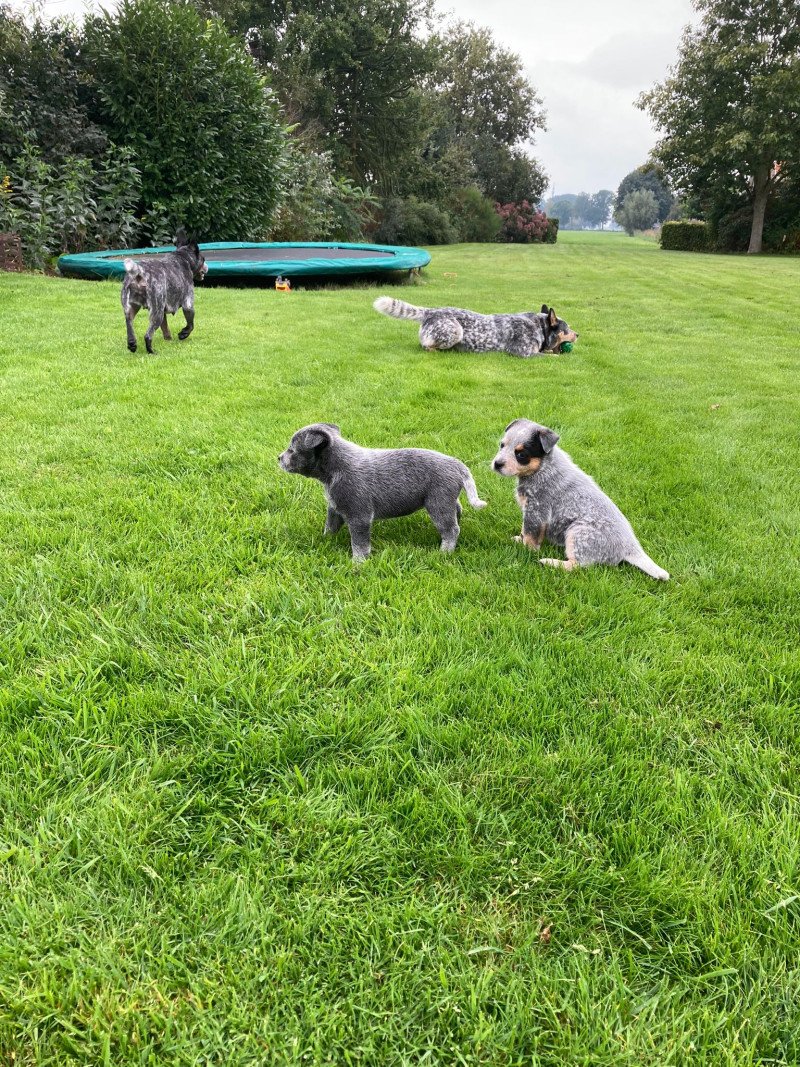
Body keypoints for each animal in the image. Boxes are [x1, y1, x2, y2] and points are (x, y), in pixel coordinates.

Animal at [279, 420, 488, 563]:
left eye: (292, 450)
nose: (279, 458)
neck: (336, 466)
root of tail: (457, 464)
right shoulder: (334, 509)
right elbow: (329, 527)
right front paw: (324, 541)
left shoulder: (359, 517)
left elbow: (359, 543)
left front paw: (358, 562)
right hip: (447, 500)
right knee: (457, 512)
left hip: (438, 503)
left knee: (451, 529)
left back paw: (444, 552)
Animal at [373, 296, 580, 358]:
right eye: (567, 328)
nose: (578, 334)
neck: (539, 327)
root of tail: (430, 311)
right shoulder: (523, 353)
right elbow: (552, 357)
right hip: (455, 332)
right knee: (426, 346)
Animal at [494, 418, 669, 584]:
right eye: (502, 445)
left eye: (521, 454)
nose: (497, 464)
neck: (542, 468)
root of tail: (631, 548)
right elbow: (524, 531)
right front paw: (519, 539)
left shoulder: (536, 510)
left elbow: (530, 533)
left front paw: (526, 550)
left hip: (578, 532)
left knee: (578, 565)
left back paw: (550, 562)